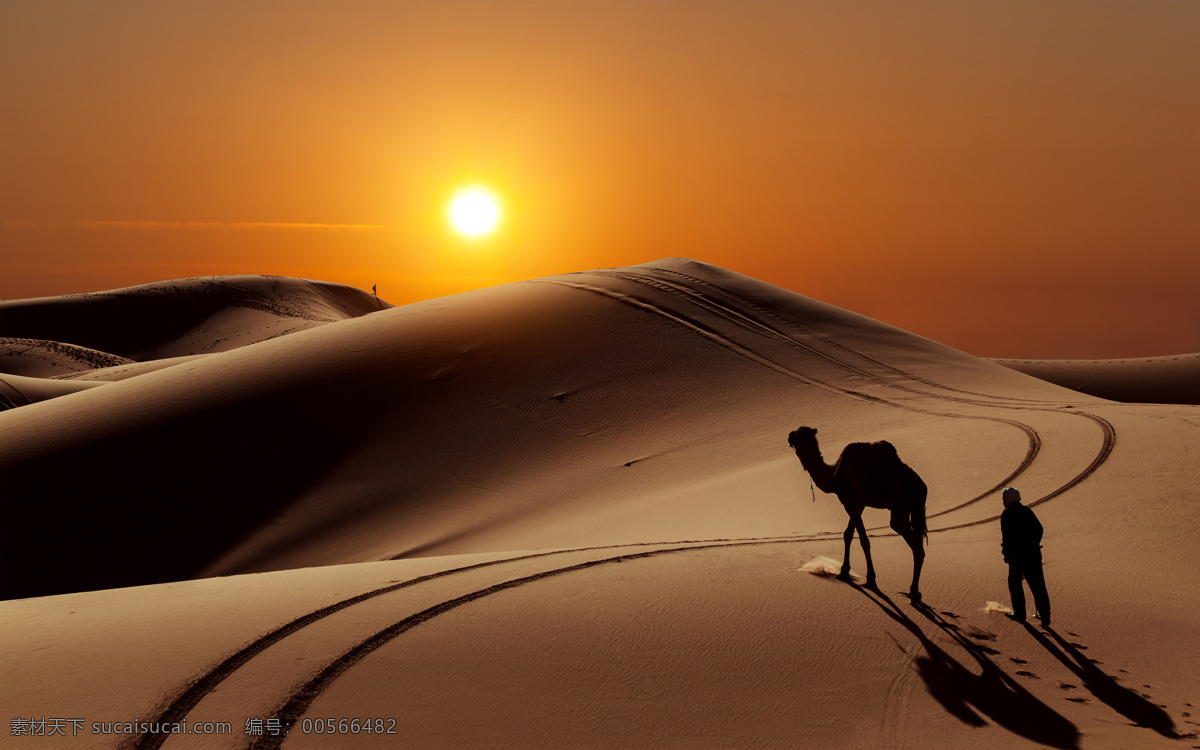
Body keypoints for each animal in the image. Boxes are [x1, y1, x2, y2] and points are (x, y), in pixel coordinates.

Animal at [787, 424, 926, 600]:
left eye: (797, 434)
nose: (789, 435)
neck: (834, 475)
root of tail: (920, 486)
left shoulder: (849, 499)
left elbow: (863, 540)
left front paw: (871, 580)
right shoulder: (859, 503)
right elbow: (848, 534)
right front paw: (844, 571)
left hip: (899, 506)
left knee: (914, 544)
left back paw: (913, 591)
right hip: (915, 509)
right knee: (919, 539)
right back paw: (915, 591)